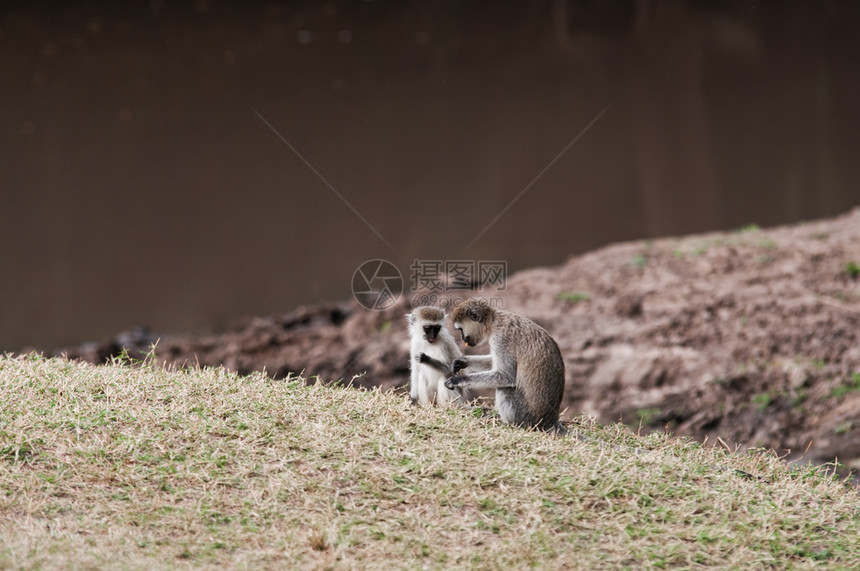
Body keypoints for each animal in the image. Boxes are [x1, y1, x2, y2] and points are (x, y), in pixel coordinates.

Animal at [446, 298, 568, 432]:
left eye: (461, 329)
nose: (463, 339)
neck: (494, 321)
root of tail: (550, 420)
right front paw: (462, 361)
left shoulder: (501, 338)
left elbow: (506, 376)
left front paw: (458, 380)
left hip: (524, 416)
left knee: (504, 388)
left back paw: (502, 421)